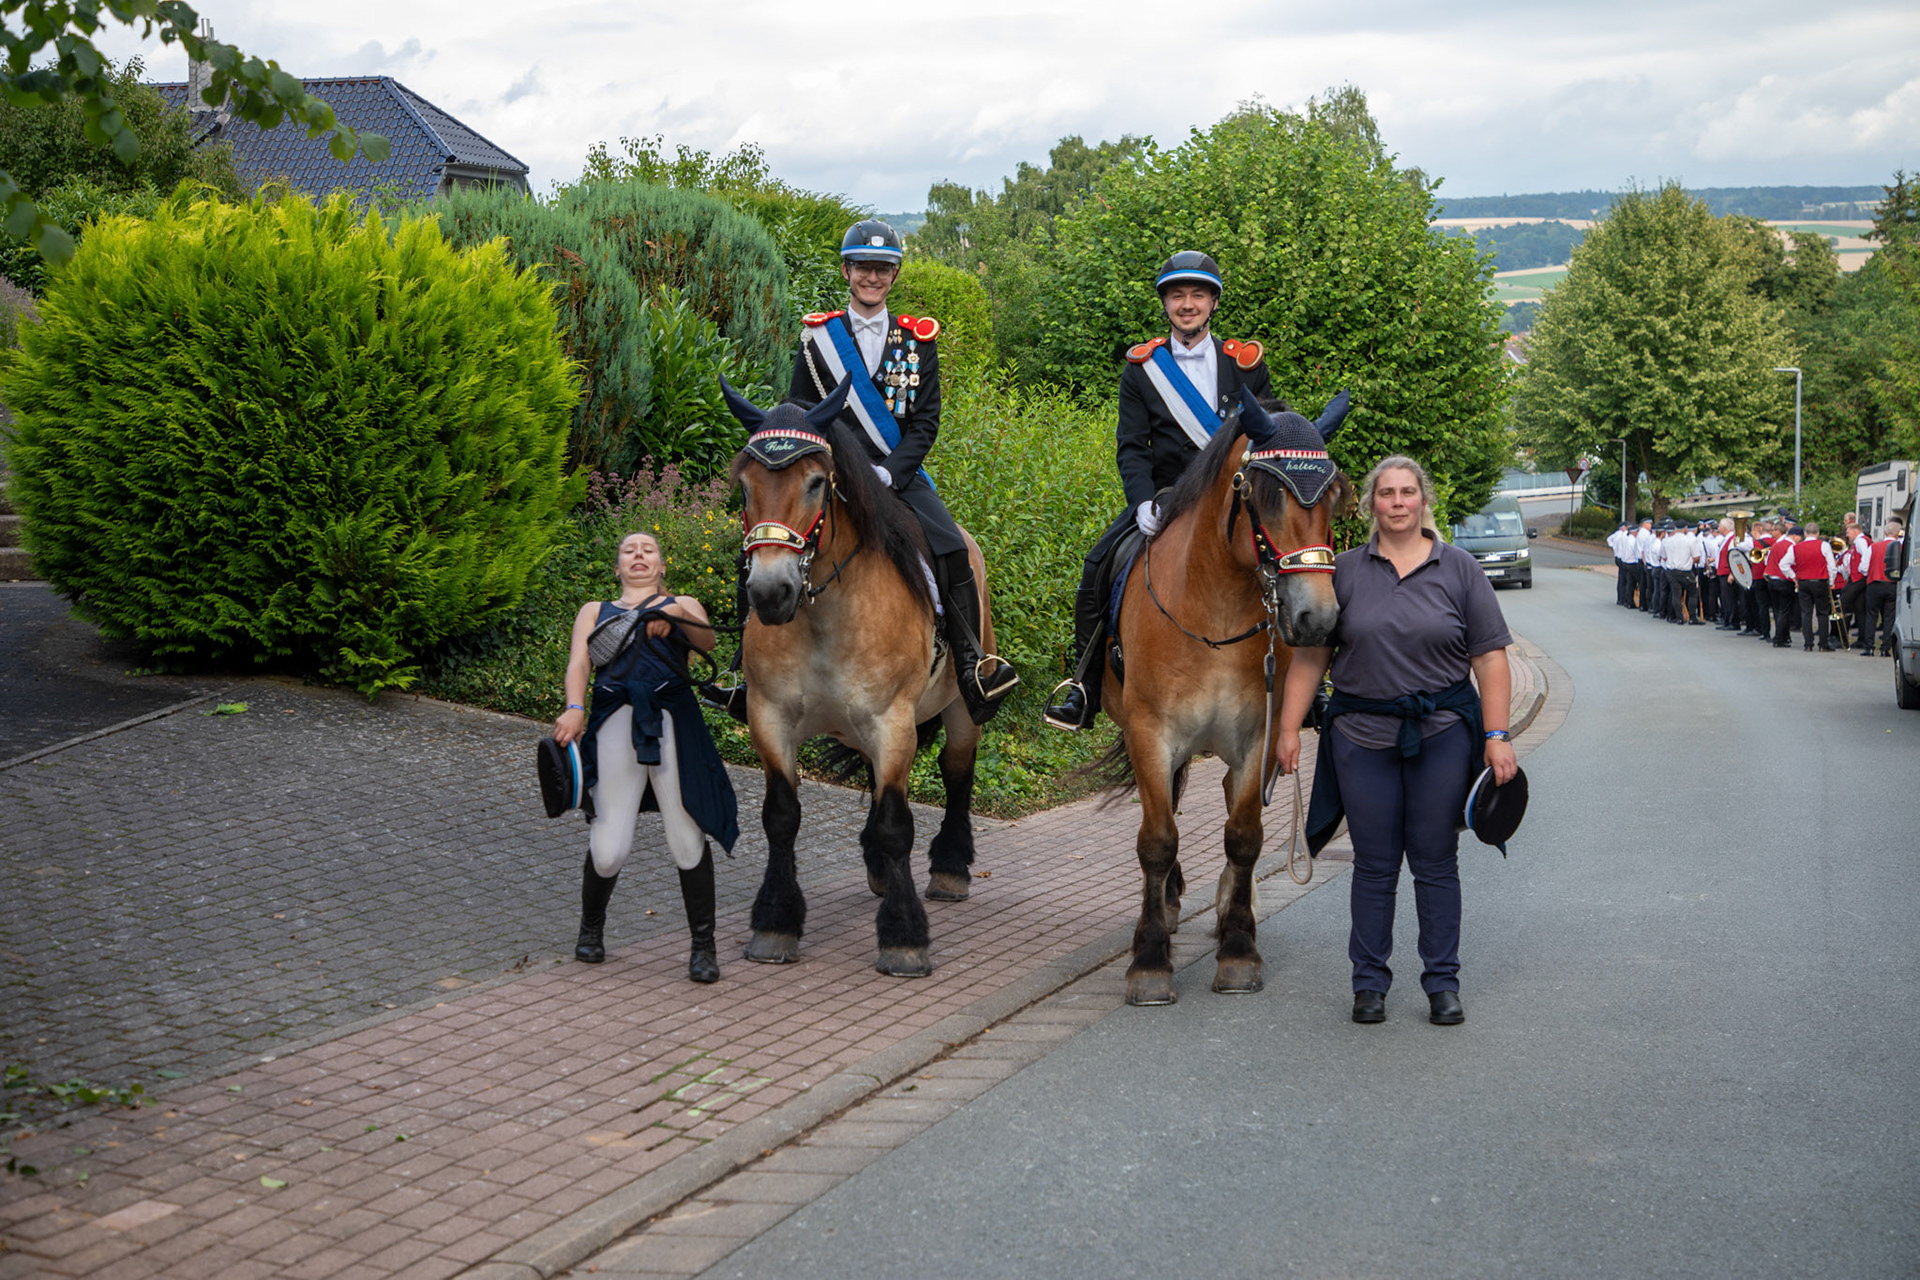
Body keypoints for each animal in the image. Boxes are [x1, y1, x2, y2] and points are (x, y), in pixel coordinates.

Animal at [720, 378, 996, 977]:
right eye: (744, 486)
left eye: (816, 482)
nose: (770, 593)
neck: (824, 613)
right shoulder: (770, 717)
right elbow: (781, 816)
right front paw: (775, 922)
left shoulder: (892, 722)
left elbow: (898, 824)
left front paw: (904, 936)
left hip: (961, 707)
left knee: (957, 771)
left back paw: (951, 868)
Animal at [1101, 388, 1352, 1005]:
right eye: (1264, 496)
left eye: (1333, 496)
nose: (1318, 620)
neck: (1212, 611)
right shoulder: (1150, 734)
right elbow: (1157, 838)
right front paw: (1150, 958)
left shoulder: (1261, 736)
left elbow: (1244, 838)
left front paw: (1238, 947)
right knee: (1170, 802)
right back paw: (1169, 903)